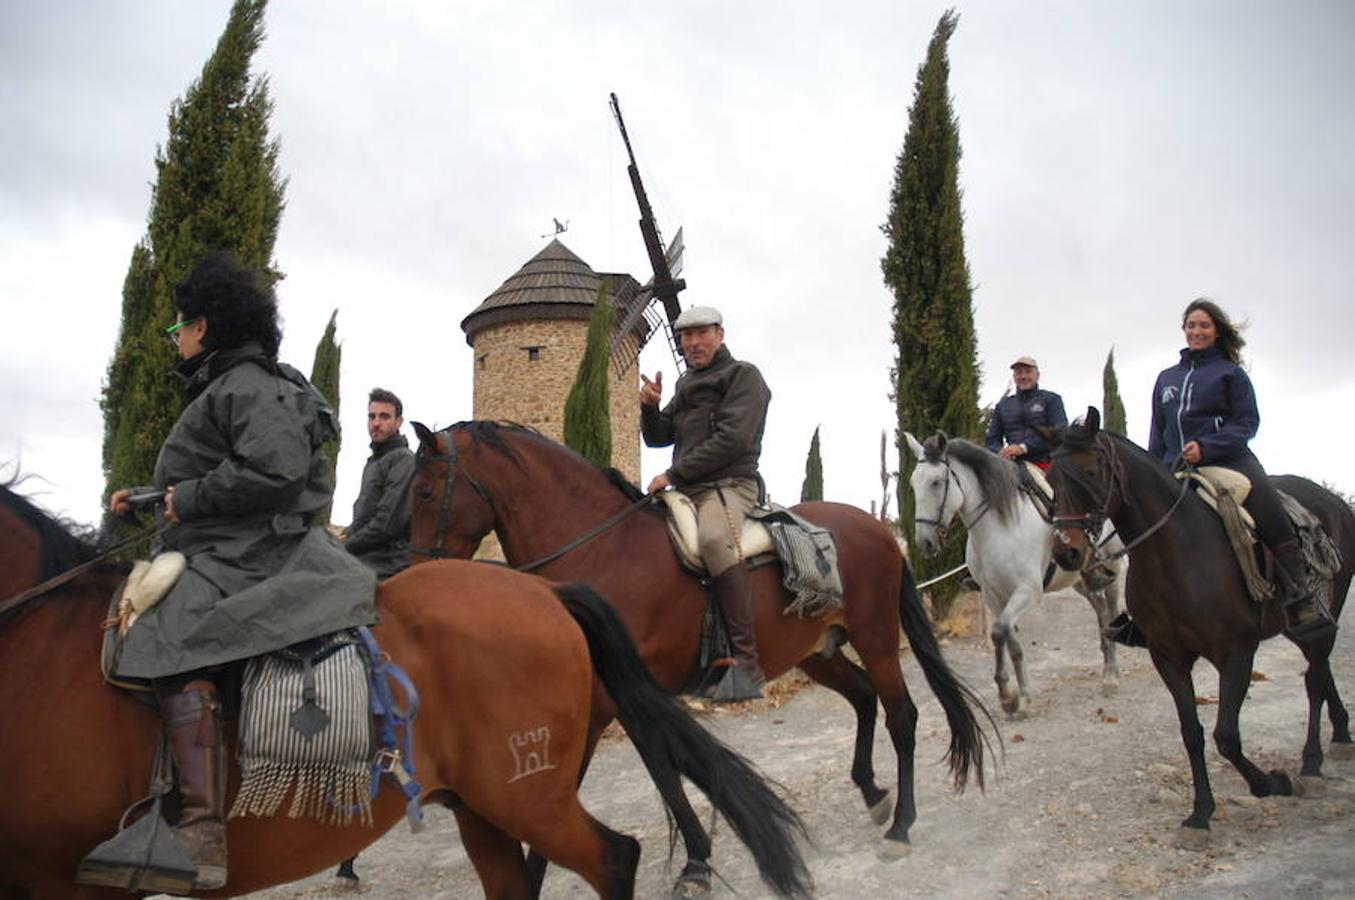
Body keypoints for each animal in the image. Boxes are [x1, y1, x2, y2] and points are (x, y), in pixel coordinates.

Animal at [403, 422, 997, 900]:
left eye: (427, 491)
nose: (409, 573)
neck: (603, 549)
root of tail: (880, 531)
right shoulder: (617, 702)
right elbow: (649, 776)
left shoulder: (614, 702)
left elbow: (639, 777)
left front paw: (690, 863)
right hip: (819, 654)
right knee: (865, 698)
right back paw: (873, 794)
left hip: (875, 639)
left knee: (902, 715)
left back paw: (900, 827)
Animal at [905, 431, 1127, 715]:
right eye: (913, 484)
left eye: (937, 482)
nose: (925, 542)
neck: (1000, 526)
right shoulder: (994, 596)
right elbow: (1012, 645)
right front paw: (1021, 696)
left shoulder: (1026, 591)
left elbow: (999, 631)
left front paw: (1007, 695)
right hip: (1079, 579)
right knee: (1100, 609)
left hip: (1113, 568)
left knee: (1111, 610)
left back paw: (1111, 676)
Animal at [1040, 412, 1349, 845]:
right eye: (1053, 479)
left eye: (1090, 471)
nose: (1067, 552)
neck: (1178, 553)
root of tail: (1333, 501)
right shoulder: (1168, 657)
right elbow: (1192, 733)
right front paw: (1201, 813)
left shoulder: (1237, 653)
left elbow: (1226, 735)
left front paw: (1271, 783)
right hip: (1298, 627)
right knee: (1319, 673)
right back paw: (1341, 735)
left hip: (1325, 613)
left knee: (1315, 680)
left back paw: (1311, 763)